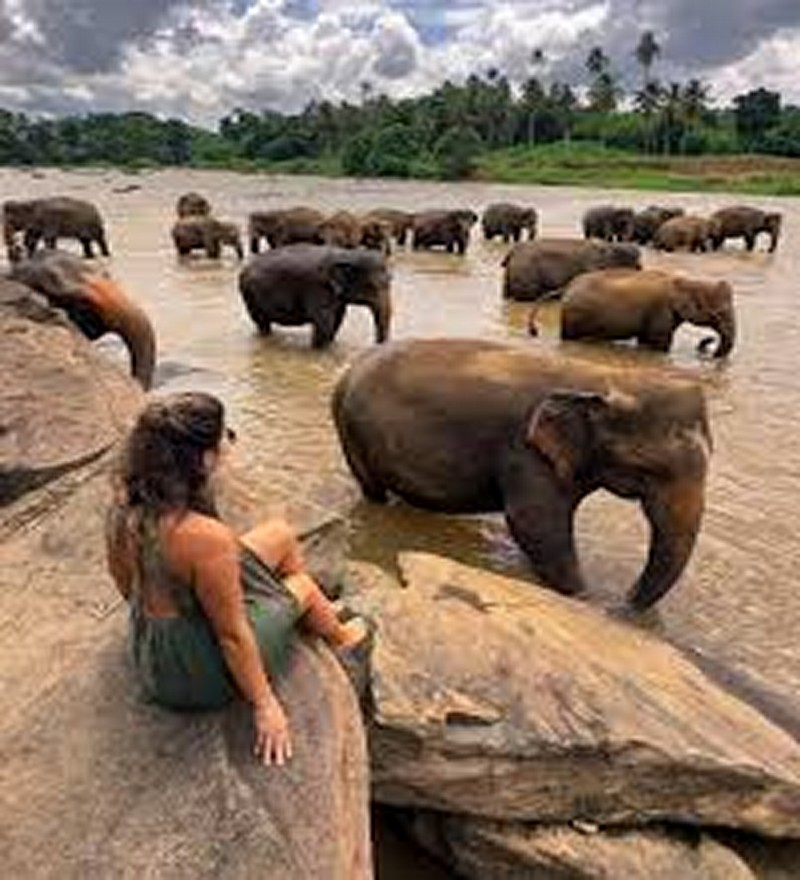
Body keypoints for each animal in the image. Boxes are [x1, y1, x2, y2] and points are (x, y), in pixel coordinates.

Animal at [238, 244, 391, 348]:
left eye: (391, 279)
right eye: (371, 286)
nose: (376, 345)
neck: (346, 253)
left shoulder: (336, 295)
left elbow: (337, 320)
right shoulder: (319, 288)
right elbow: (324, 324)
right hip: (250, 295)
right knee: (261, 322)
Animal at [333, 338, 710, 610]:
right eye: (649, 468)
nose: (623, 602)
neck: (603, 378)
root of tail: (349, 371)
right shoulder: (526, 452)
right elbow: (534, 523)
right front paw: (583, 597)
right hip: (351, 432)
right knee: (372, 491)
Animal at [541, 268, 736, 358]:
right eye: (719, 313)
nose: (709, 340)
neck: (686, 281)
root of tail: (569, 285)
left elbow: (645, 341)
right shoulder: (661, 311)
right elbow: (661, 344)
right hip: (573, 317)